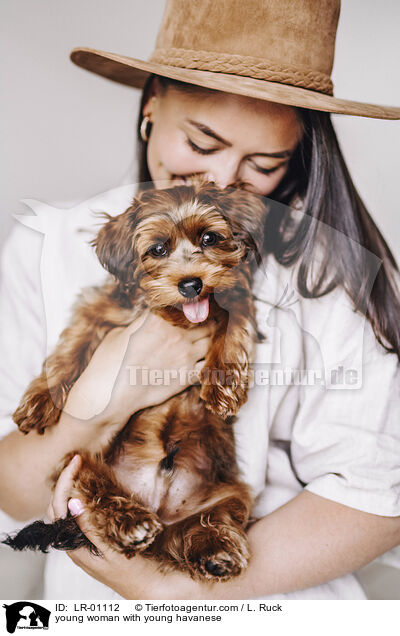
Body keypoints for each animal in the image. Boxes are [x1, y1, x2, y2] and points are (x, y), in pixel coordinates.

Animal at [6, 180, 268, 580]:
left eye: (209, 238)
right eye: (157, 249)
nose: (192, 283)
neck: (175, 315)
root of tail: (161, 511)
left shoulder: (234, 292)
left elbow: (234, 323)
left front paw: (223, 385)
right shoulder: (99, 311)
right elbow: (70, 350)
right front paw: (39, 402)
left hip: (229, 495)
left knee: (211, 520)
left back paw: (215, 549)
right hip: (77, 464)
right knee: (97, 492)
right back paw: (132, 523)